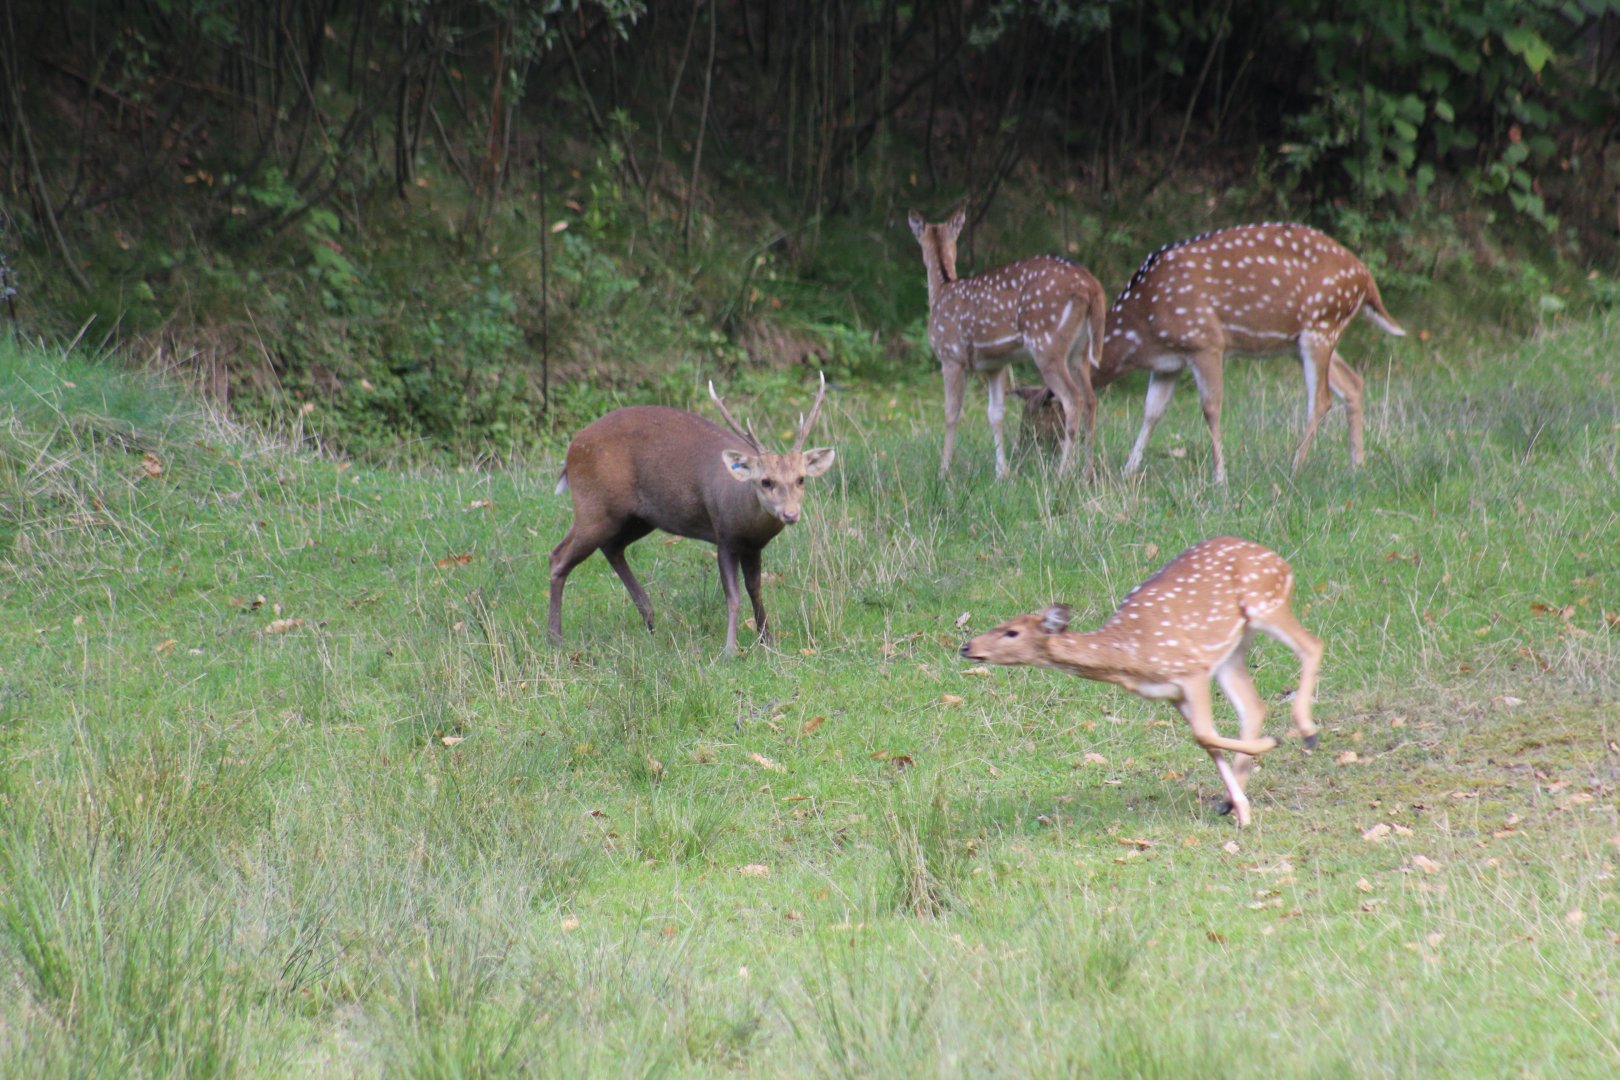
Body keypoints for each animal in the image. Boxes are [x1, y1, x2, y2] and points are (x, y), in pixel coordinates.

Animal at [548, 374, 834, 655]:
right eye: (766, 481)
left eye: (800, 479)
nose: (790, 514)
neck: (742, 514)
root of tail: (571, 450)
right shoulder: (724, 536)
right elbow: (733, 596)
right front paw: (730, 649)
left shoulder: (754, 546)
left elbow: (755, 589)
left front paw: (767, 640)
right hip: (593, 506)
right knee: (558, 556)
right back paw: (555, 638)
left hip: (638, 518)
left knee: (612, 547)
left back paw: (650, 620)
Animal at [908, 208, 1107, 479]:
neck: (941, 291)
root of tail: (1092, 286)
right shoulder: (996, 364)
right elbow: (995, 414)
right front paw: (1002, 473)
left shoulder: (951, 356)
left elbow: (951, 412)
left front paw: (943, 472)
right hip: (1080, 350)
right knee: (1090, 399)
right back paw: (1086, 473)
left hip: (1047, 344)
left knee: (1072, 399)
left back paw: (1061, 474)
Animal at [959, 536, 1323, 827]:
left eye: (1011, 632)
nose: (967, 646)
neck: (1130, 658)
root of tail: (1280, 561)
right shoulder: (1172, 692)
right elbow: (1205, 739)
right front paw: (1240, 809)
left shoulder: (1190, 669)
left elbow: (1204, 734)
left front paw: (1271, 745)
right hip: (1231, 649)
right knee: (1254, 706)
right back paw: (1232, 799)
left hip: (1266, 604)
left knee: (1312, 645)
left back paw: (1308, 733)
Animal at [1094, 222, 1406, 484]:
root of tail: (1366, 279)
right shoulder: (1168, 364)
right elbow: (1151, 411)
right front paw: (1128, 470)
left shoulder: (1205, 341)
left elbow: (1211, 408)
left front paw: (1220, 478)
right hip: (1303, 340)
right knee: (1353, 382)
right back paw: (1357, 465)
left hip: (1321, 325)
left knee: (1320, 400)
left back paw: (1294, 468)